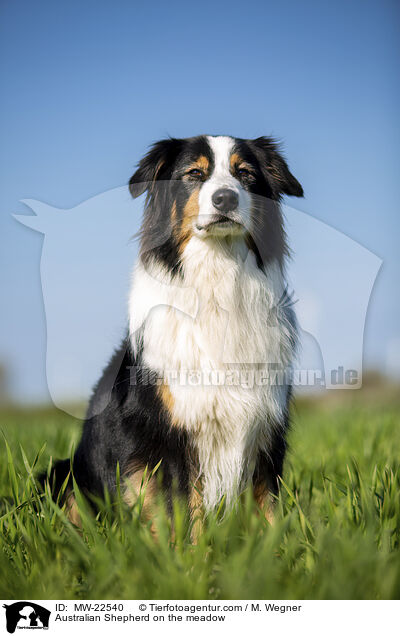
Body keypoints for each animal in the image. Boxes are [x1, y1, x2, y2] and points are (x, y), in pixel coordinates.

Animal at [42, 137, 302, 528]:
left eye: (245, 174)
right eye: (193, 174)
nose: (225, 199)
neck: (217, 284)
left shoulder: (266, 432)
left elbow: (269, 511)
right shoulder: (172, 437)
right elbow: (185, 513)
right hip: (61, 474)